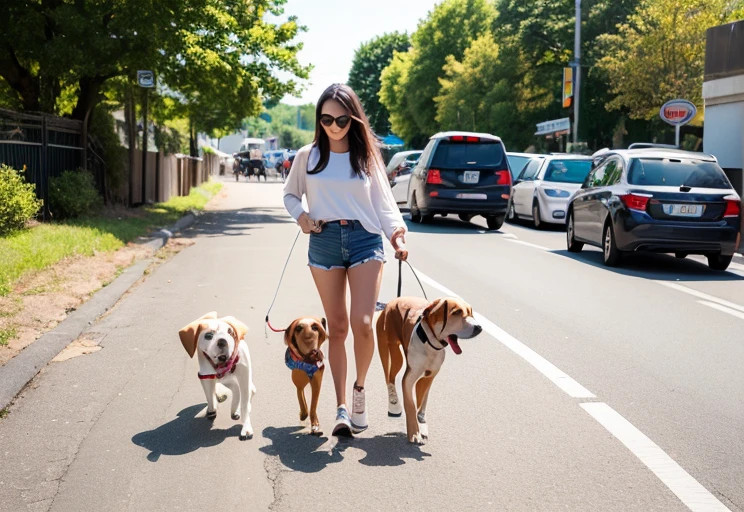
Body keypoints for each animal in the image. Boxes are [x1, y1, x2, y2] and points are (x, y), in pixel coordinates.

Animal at [179, 312, 258, 440]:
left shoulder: (244, 377)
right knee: (235, 389)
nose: (222, 341)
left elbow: (245, 404)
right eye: (208, 335)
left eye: (230, 332)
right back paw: (233, 408)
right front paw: (212, 409)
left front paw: (246, 427)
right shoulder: (205, 377)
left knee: (249, 391)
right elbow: (210, 396)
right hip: (226, 381)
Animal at [378, 296, 482, 444]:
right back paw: (394, 404)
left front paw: (421, 426)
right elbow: (410, 405)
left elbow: (420, 404)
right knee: (390, 377)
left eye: (470, 312)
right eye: (456, 312)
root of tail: (394, 301)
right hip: (393, 354)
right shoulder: (409, 379)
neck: (429, 343)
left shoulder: (428, 377)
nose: (479, 328)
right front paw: (414, 433)